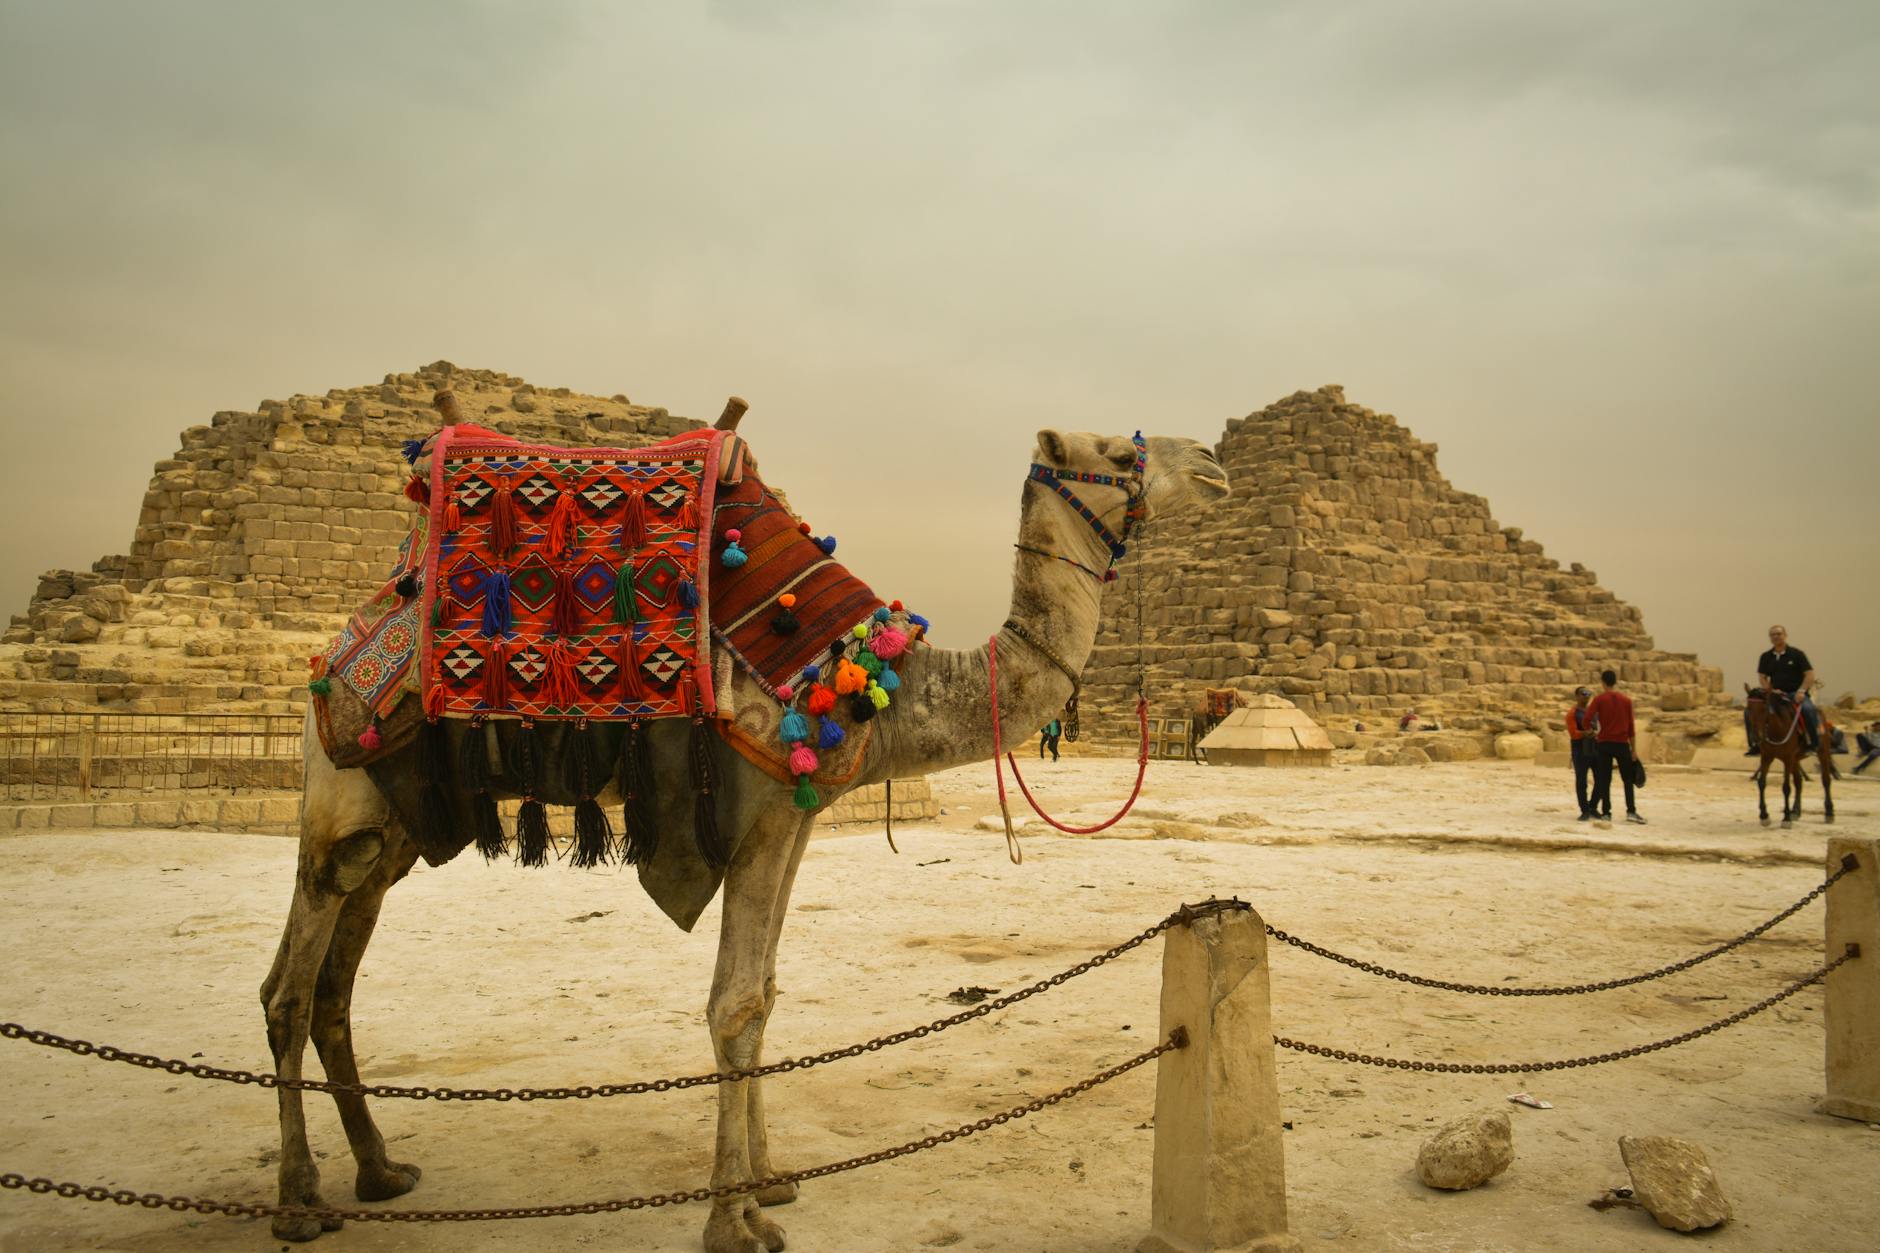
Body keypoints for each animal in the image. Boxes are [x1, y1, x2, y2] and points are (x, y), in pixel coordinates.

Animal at [260, 422, 1230, 1249]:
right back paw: (300, 1200)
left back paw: (381, 1169)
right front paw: (734, 1221)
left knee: (335, 989)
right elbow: (733, 1004)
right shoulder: (761, 810)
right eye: (1120, 453)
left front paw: (771, 1179)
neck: (880, 686)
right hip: (338, 799)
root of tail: (340, 649)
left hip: (390, 830)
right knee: (286, 991)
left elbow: (765, 992)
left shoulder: (791, 821)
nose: (1216, 462)